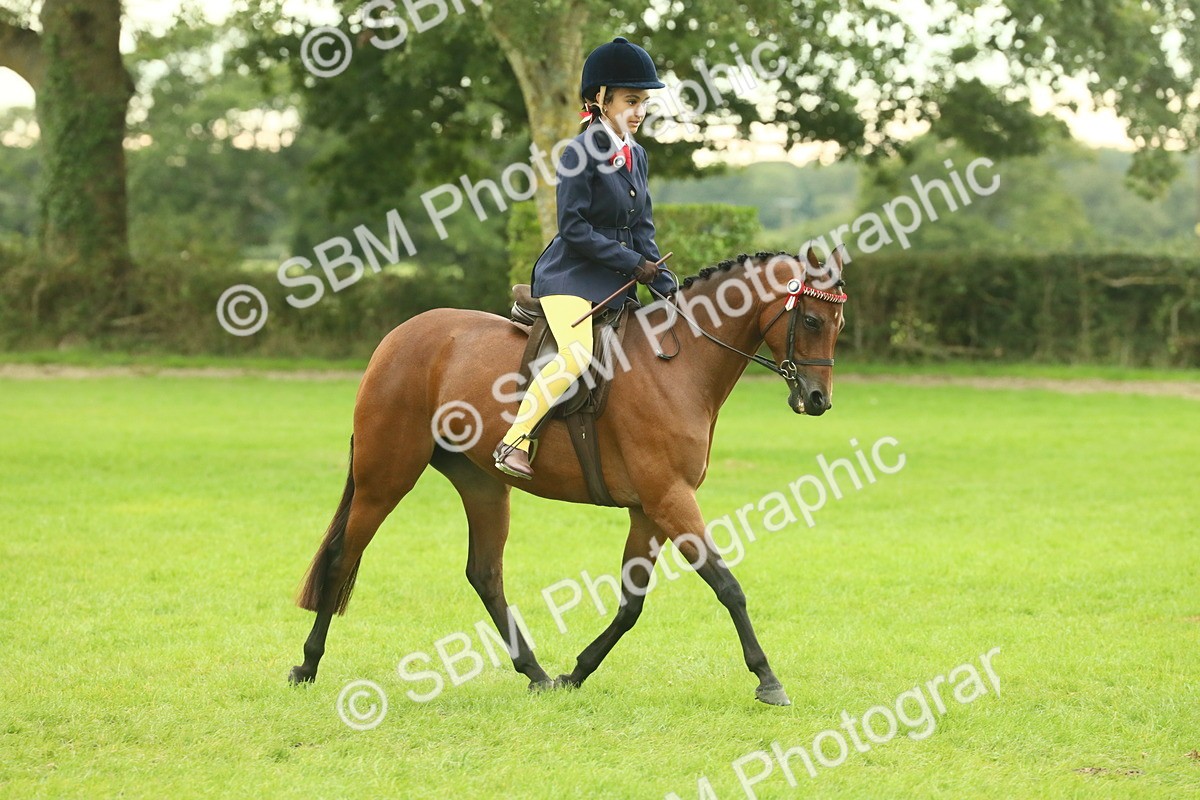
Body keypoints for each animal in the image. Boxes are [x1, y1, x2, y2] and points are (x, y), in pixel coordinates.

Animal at [288, 247, 848, 706]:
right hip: (386, 476)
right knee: (342, 557)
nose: (818, 400)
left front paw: (576, 673)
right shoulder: (670, 498)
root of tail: (397, 337)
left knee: (484, 574)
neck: (677, 361)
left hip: (482, 484)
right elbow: (727, 584)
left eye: (839, 324)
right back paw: (307, 665)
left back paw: (535, 673)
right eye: (811, 319)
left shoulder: (649, 509)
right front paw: (768, 678)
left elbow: (631, 604)